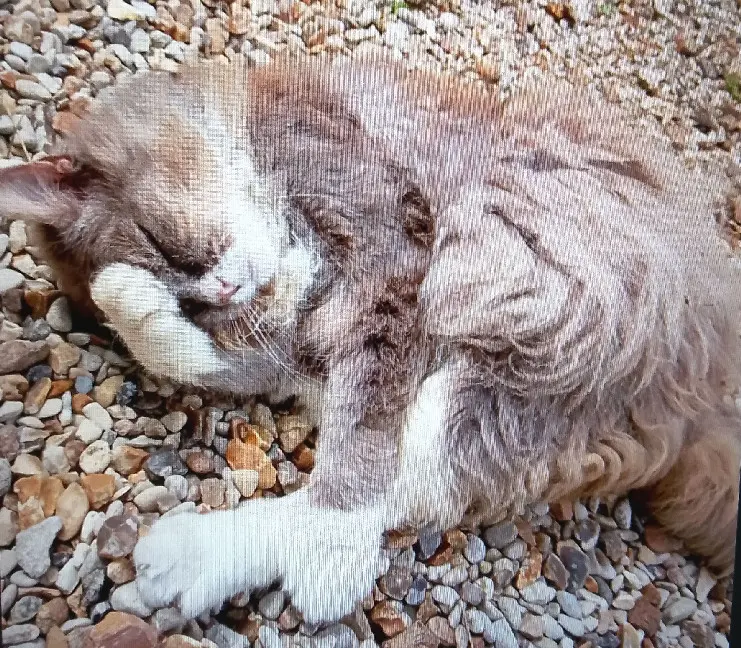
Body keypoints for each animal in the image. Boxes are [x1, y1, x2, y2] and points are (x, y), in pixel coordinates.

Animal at [1, 57, 740, 628]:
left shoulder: (391, 256)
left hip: (520, 320)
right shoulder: (293, 341)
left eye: (162, 242)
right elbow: (183, 350)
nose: (220, 295)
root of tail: (707, 400)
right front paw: (135, 300)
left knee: (397, 483)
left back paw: (229, 559)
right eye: (192, 301)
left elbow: (359, 445)